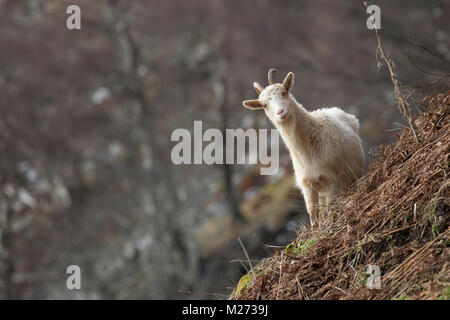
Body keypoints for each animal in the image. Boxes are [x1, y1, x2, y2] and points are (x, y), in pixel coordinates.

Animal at [243, 69, 366, 229]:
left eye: (284, 92)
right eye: (264, 104)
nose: (280, 112)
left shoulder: (334, 181)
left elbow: (329, 209)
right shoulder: (307, 185)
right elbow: (313, 214)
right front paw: (316, 230)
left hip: (349, 178)